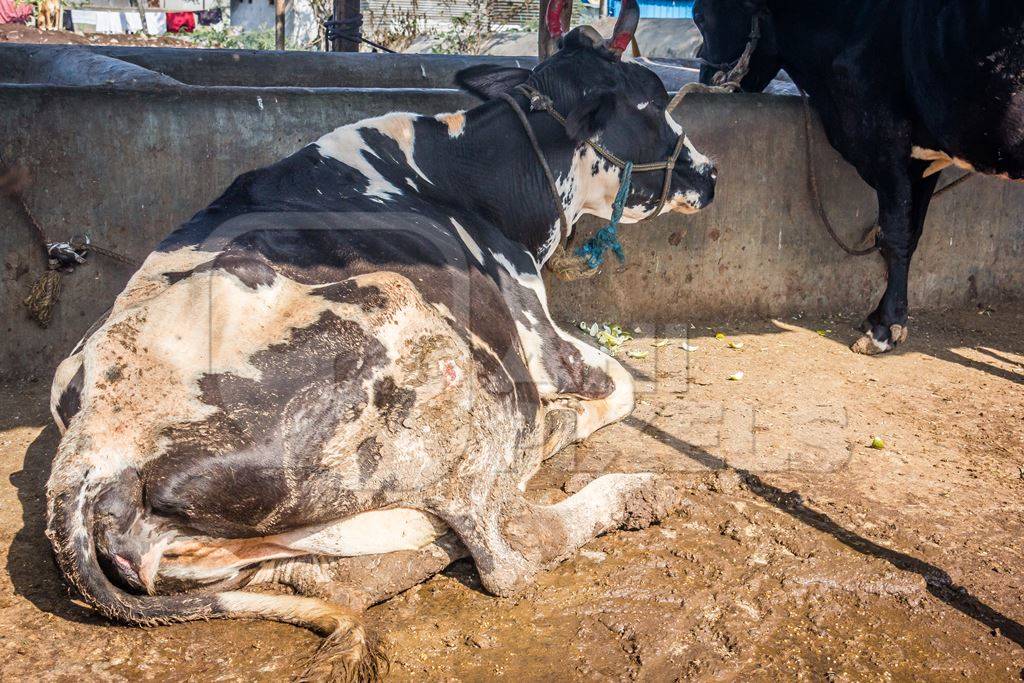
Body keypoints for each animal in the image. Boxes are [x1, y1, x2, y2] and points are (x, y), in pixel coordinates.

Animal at [44, 3, 716, 679]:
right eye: (650, 100)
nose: (710, 172)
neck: (475, 175)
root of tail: (91, 453)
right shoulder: (540, 337)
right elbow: (623, 383)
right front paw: (573, 420)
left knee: (326, 576)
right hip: (415, 324)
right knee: (509, 544)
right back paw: (624, 485)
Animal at [692, 0, 1024, 352]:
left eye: (699, 16)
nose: (705, 78)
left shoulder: (883, 137)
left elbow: (894, 234)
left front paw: (885, 328)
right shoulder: (921, 157)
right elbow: (912, 233)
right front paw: (881, 316)